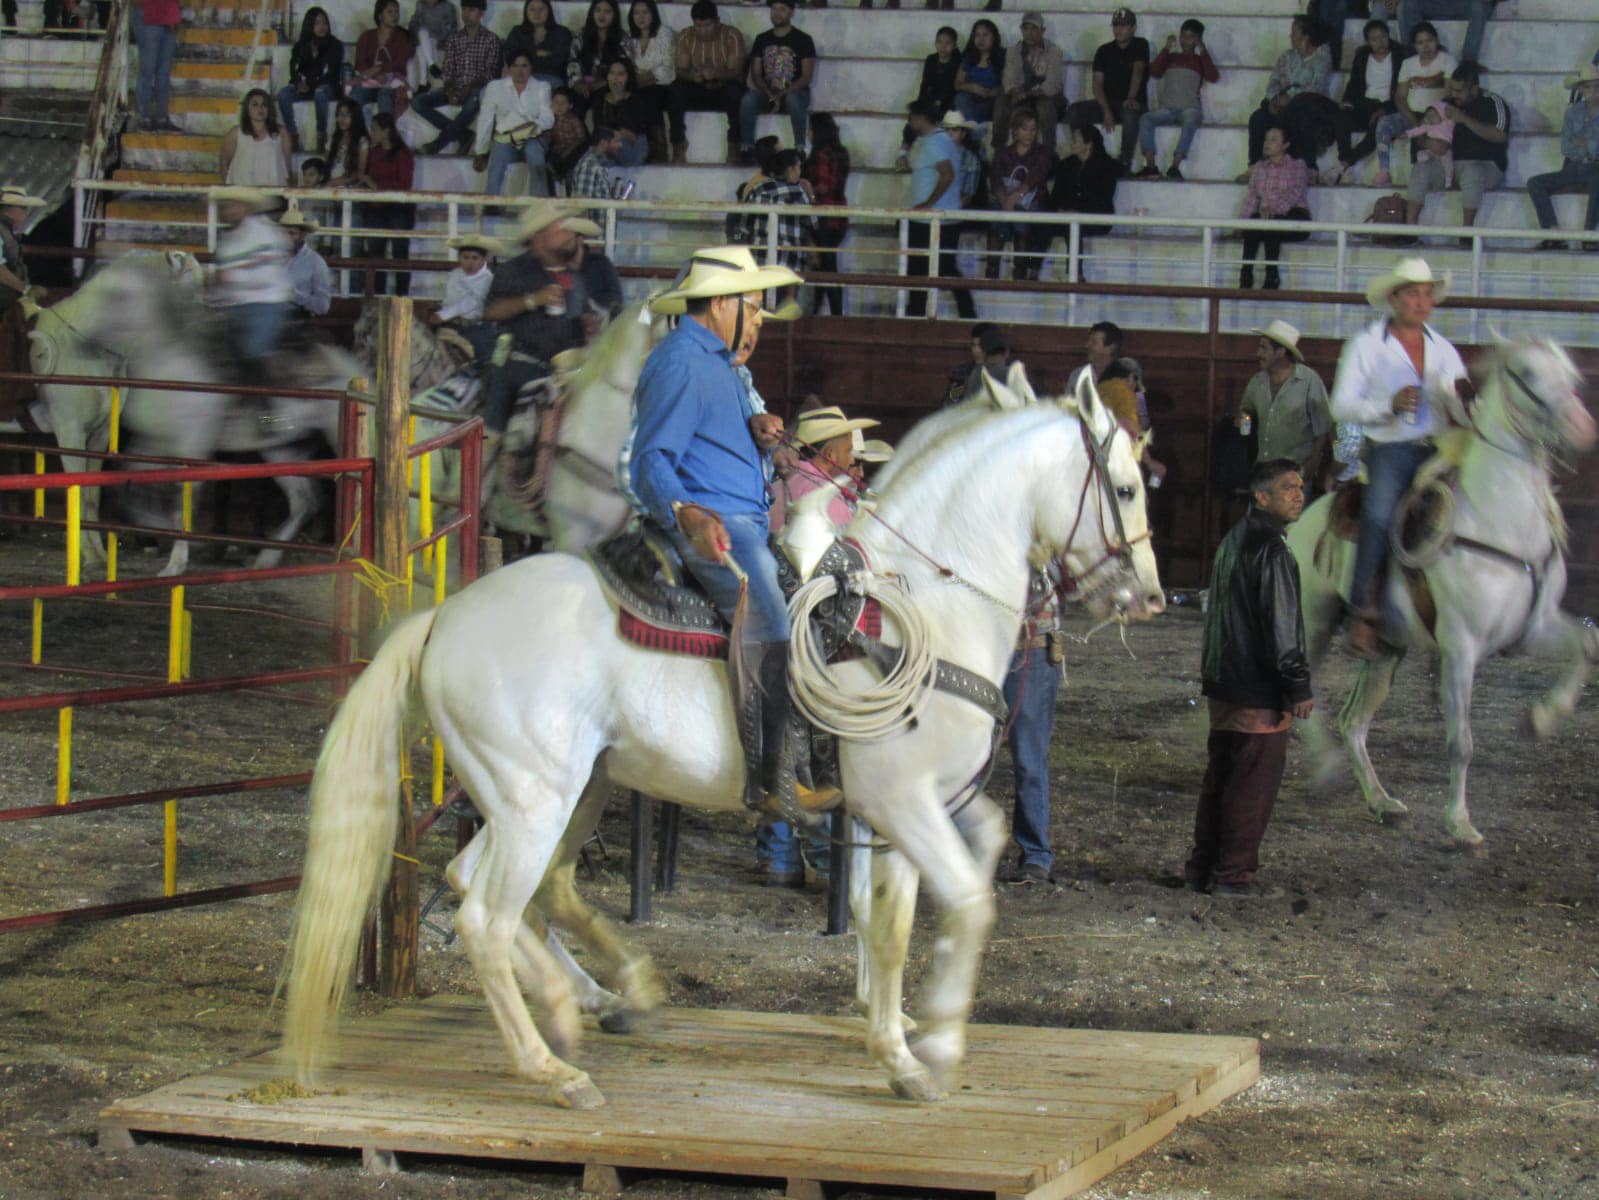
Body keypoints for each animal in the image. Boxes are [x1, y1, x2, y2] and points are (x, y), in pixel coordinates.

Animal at [75, 256, 362, 576]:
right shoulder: (153, 442)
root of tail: (348, 366)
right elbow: (132, 481)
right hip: (283, 449)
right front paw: (153, 528)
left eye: (117, 295)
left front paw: (176, 562)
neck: (173, 362)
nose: (83, 342)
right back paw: (264, 559)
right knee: (304, 501)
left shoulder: (192, 447)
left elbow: (182, 499)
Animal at [284, 376, 1164, 1107]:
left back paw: (606, 996)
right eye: (1123, 486)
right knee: (487, 917)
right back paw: (556, 1064)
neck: (916, 606)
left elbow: (902, 915)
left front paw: (901, 1039)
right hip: (535, 800)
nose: (1148, 596)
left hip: (562, 791)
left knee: (497, 887)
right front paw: (936, 1046)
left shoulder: (912, 808)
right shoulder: (902, 805)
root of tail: (441, 619)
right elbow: (964, 905)